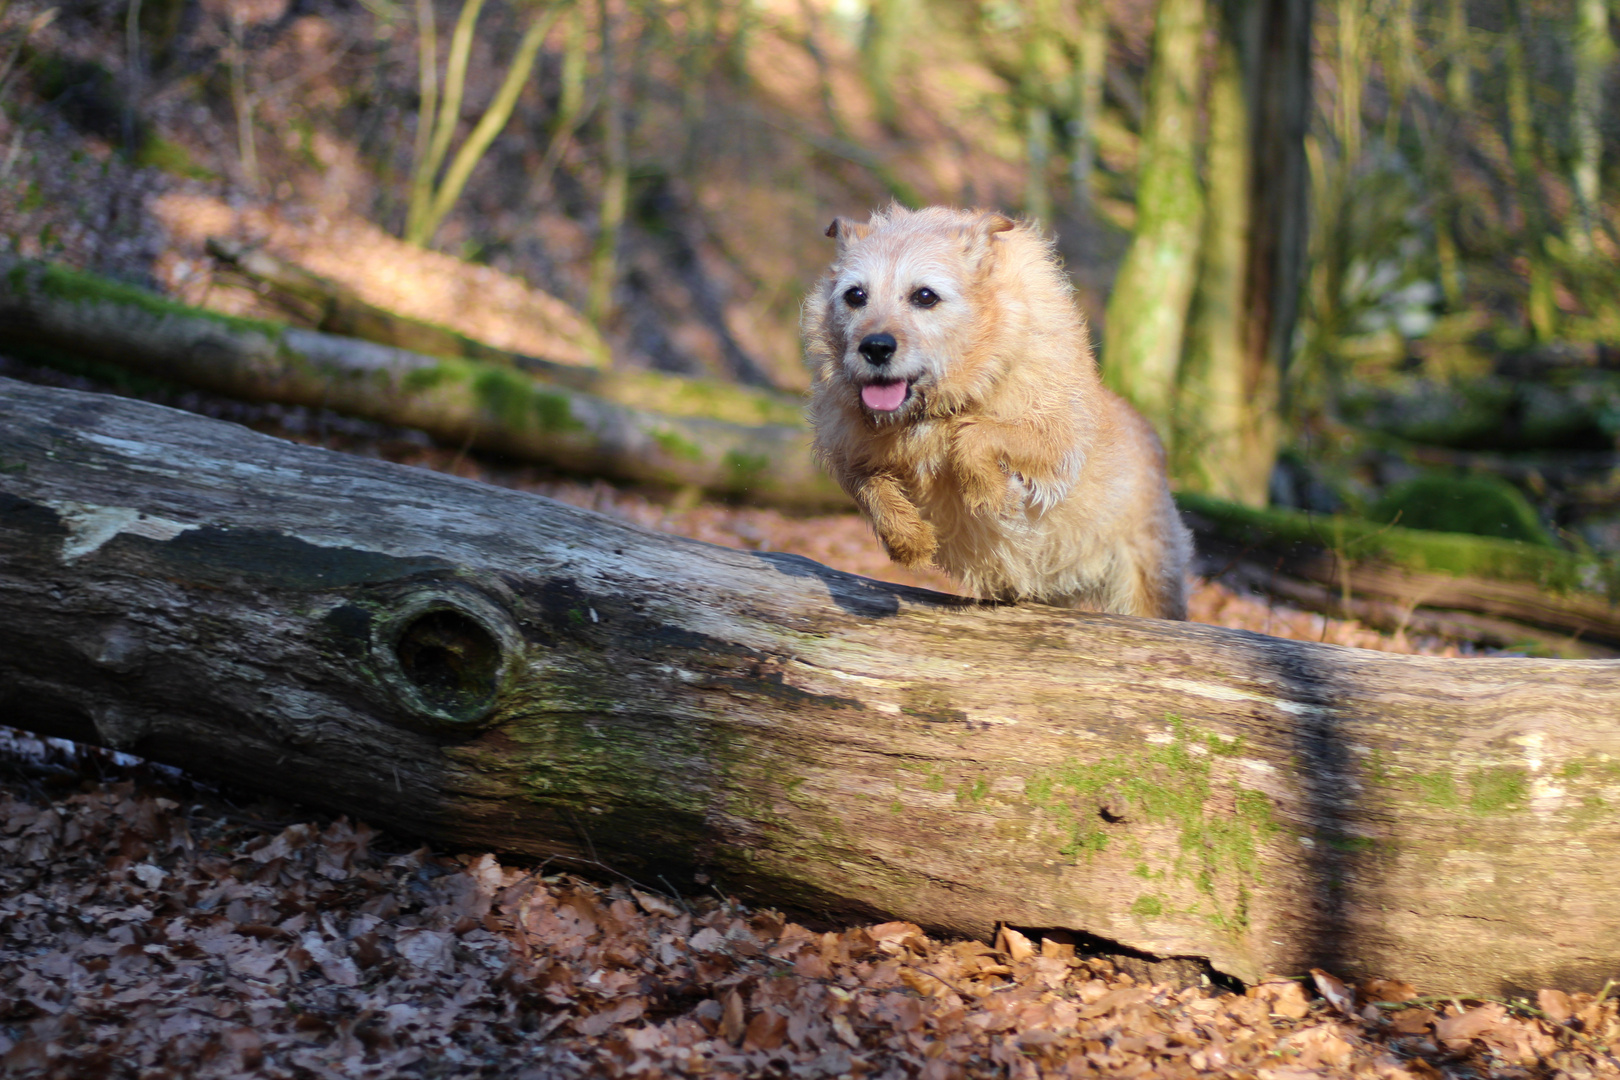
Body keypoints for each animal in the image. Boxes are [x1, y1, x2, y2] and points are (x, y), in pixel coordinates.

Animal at [806, 205, 1192, 621]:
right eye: (855, 295)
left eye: (924, 295)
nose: (875, 347)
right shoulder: (849, 451)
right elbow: (870, 487)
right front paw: (909, 539)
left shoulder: (1057, 442)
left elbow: (975, 435)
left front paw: (991, 492)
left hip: (1147, 579)